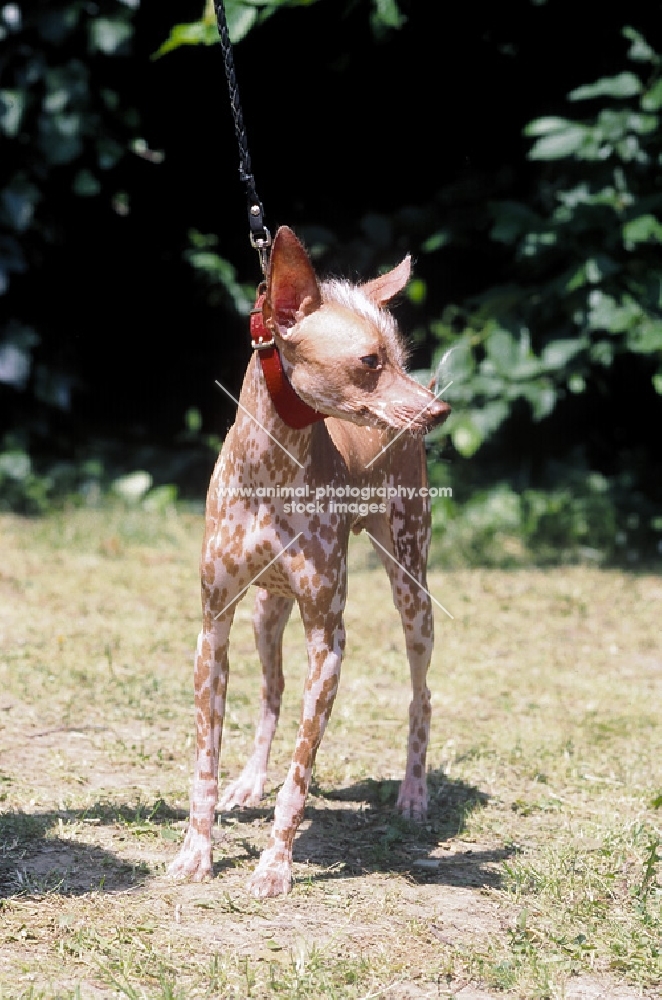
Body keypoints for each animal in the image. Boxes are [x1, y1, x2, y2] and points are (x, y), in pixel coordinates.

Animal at [169, 227, 454, 900]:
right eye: (370, 361)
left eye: (400, 355)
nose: (437, 411)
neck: (272, 472)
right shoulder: (212, 628)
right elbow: (205, 761)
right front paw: (198, 850)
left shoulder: (329, 639)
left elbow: (299, 777)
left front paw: (275, 865)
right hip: (265, 612)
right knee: (271, 693)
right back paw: (250, 779)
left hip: (412, 588)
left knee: (422, 695)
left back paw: (413, 794)